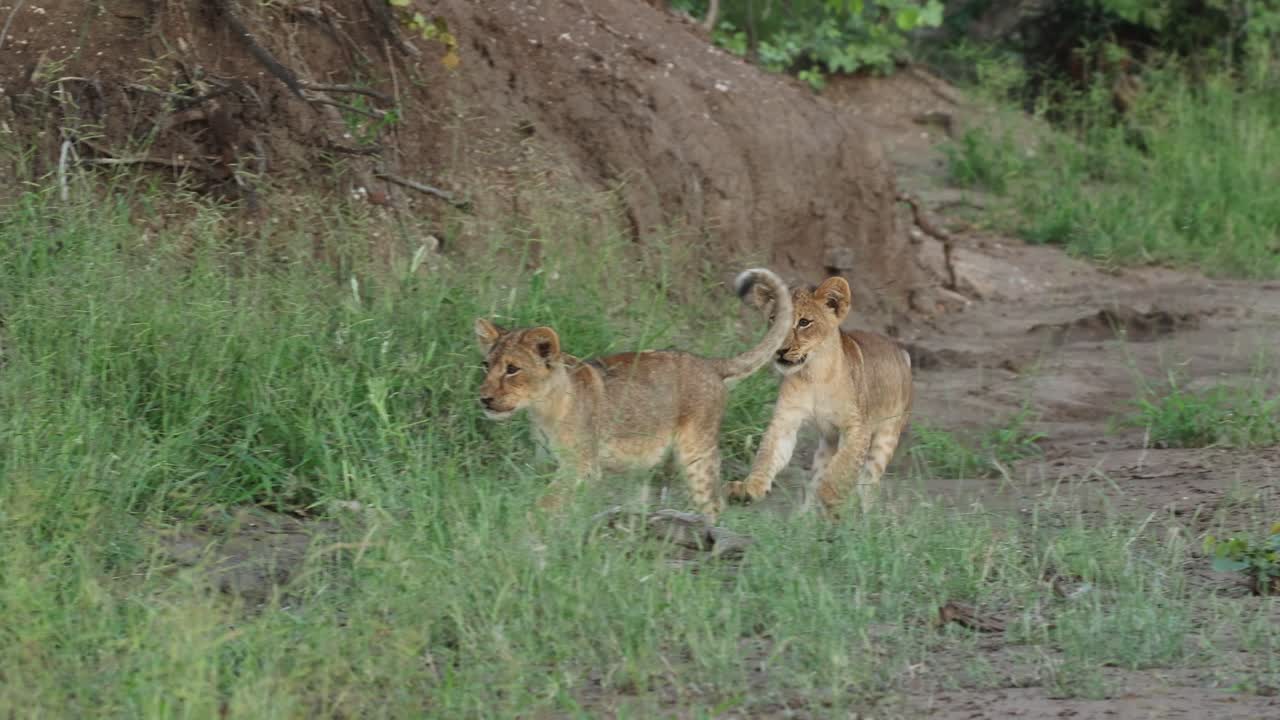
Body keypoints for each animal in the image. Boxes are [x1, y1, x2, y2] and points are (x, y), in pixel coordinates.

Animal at [473, 268, 794, 518]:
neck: (542, 409)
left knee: (713, 503)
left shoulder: (581, 466)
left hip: (696, 451)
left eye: (512, 369)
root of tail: (709, 363)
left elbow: (545, 503)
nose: (484, 398)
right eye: (486, 365)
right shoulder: (549, 463)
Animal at [726, 275, 913, 513]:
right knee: (820, 472)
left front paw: (831, 497)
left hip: (886, 436)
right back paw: (805, 517)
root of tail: (899, 351)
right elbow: (767, 454)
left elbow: (841, 469)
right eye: (773, 320)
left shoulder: (858, 427)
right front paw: (750, 487)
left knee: (869, 483)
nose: (779, 350)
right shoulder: (785, 420)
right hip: (828, 442)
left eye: (804, 322)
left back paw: (863, 516)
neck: (815, 374)